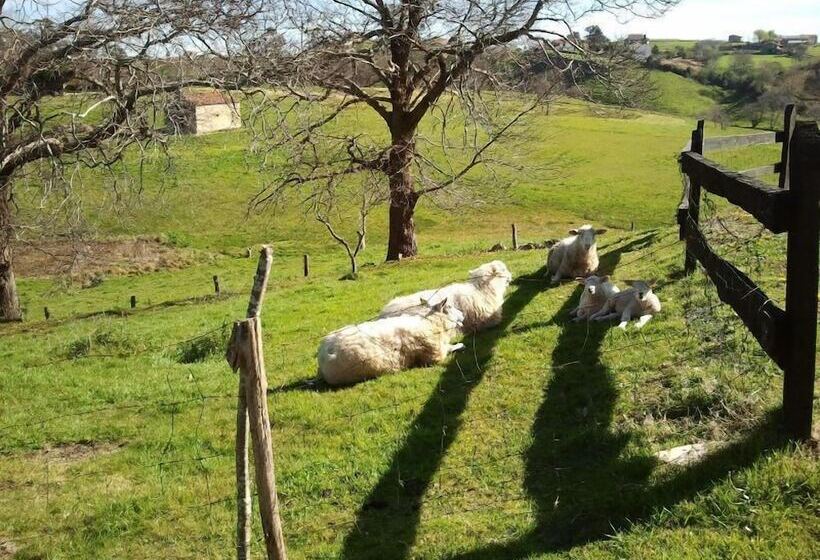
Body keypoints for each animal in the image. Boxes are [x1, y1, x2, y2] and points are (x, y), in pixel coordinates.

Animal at [318, 298, 465, 386]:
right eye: (449, 307)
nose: (463, 314)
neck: (432, 322)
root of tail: (323, 353)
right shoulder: (434, 355)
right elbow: (451, 348)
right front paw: (461, 345)